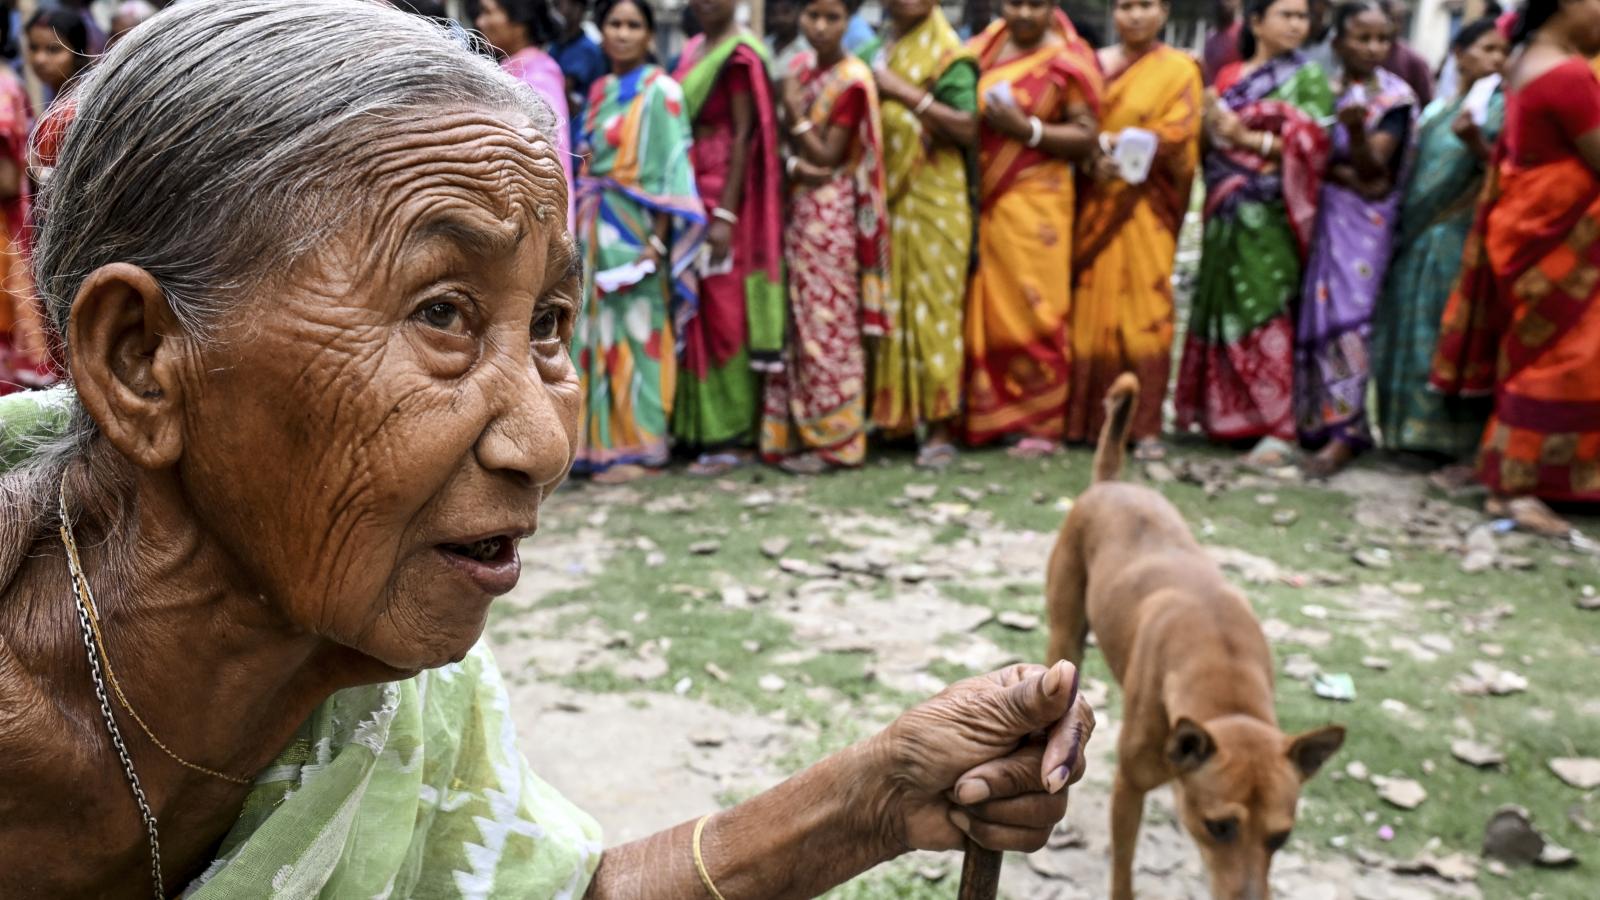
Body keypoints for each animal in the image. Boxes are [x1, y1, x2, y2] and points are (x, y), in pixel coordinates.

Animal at [1043, 373, 1344, 896]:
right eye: (1218, 826)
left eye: (1282, 838)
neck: (1225, 681)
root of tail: (1112, 484)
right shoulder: (1129, 786)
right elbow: (1123, 869)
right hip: (1065, 635)